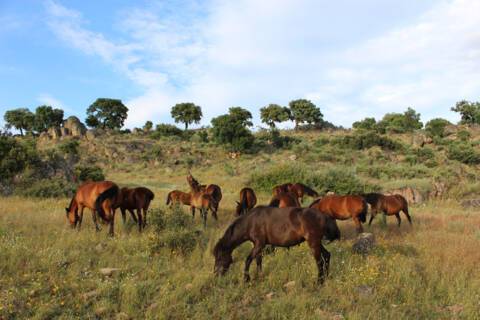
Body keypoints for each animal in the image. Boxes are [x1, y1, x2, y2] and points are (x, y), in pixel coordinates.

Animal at [214, 206, 342, 284]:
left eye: (219, 257)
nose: (216, 274)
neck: (251, 221)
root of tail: (324, 216)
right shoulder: (258, 245)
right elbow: (258, 260)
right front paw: (259, 276)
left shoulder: (259, 244)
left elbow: (248, 260)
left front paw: (246, 279)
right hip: (317, 243)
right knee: (326, 256)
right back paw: (325, 277)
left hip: (313, 243)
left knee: (319, 261)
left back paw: (319, 281)